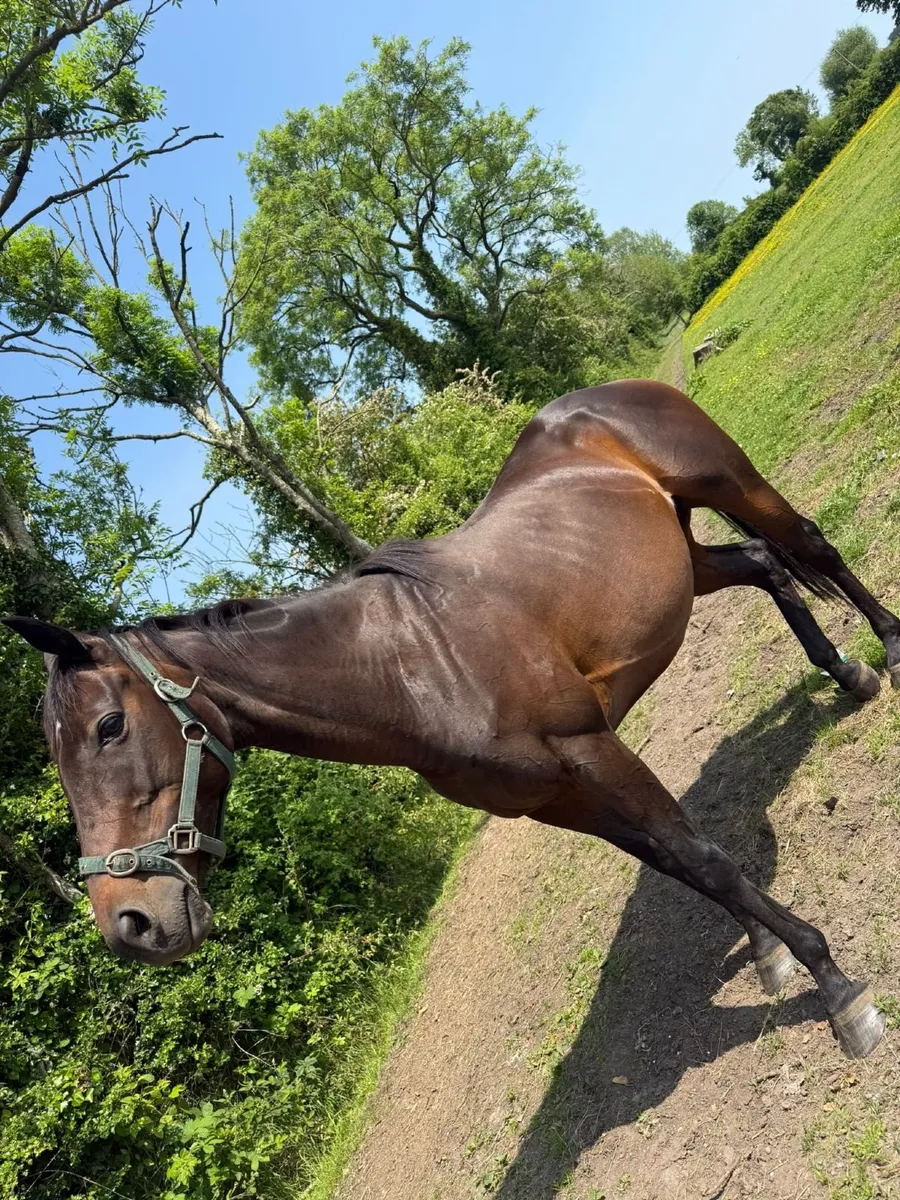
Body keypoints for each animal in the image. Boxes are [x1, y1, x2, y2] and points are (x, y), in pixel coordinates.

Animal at [6, 380, 899, 1060]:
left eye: (109, 728)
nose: (130, 925)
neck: (409, 669)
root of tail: (604, 397)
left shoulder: (589, 748)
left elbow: (701, 858)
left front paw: (836, 988)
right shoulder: (559, 798)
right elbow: (679, 861)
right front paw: (771, 954)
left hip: (727, 483)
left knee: (808, 546)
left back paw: (887, 646)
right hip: (684, 559)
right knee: (763, 565)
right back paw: (845, 674)